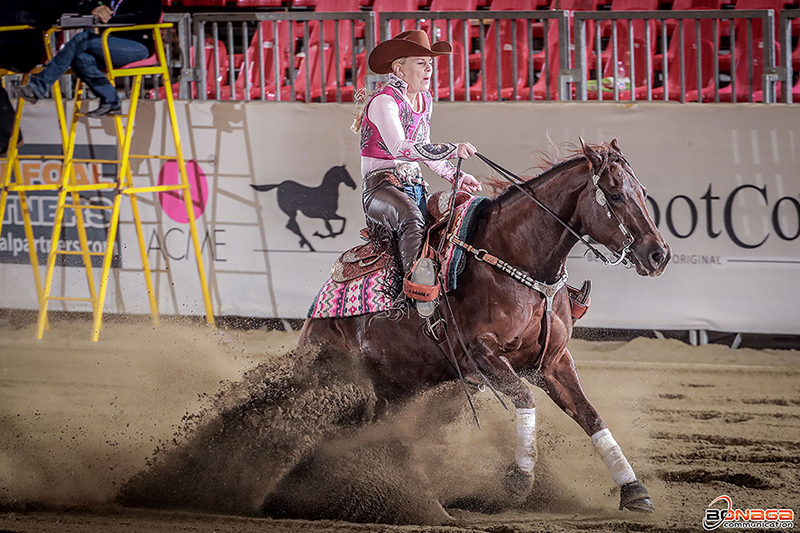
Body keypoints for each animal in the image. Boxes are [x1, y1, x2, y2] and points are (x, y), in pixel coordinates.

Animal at [296, 139, 672, 512]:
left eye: (643, 192)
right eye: (615, 194)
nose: (659, 255)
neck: (514, 258)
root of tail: (315, 315)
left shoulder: (554, 361)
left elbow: (590, 415)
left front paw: (633, 488)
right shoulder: (480, 354)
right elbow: (525, 398)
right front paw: (519, 479)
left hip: (394, 390)